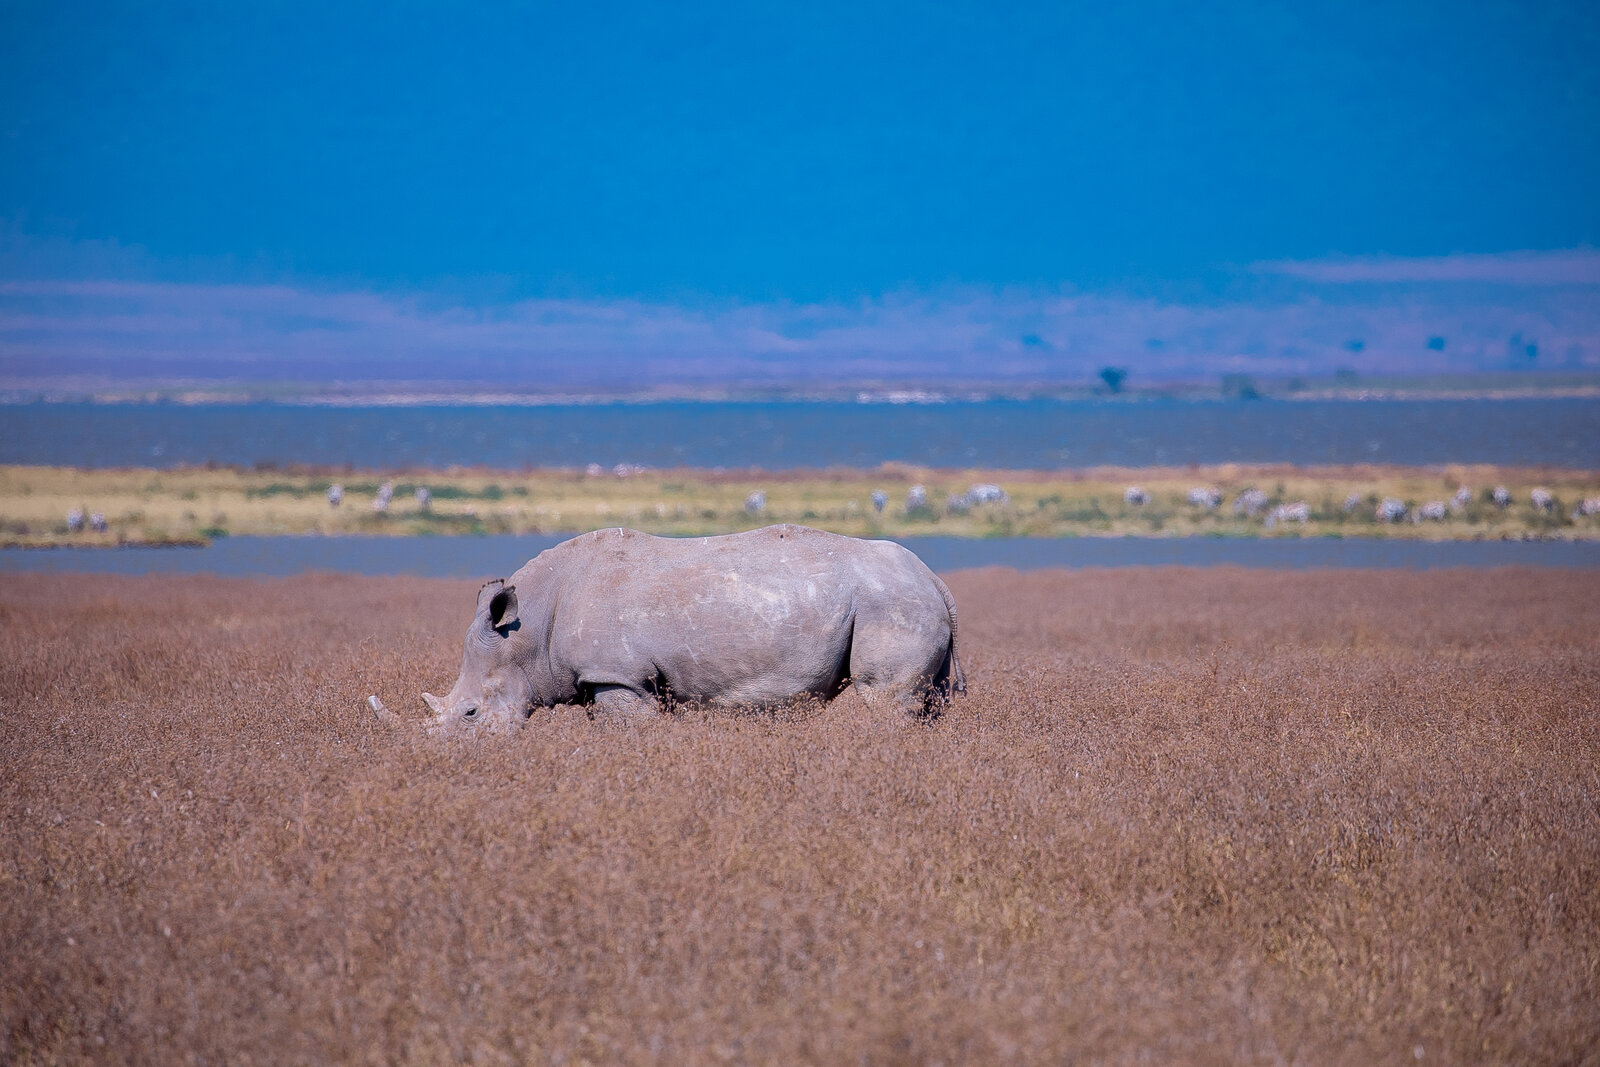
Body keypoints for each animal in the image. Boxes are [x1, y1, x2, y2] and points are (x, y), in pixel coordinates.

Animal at [422, 525, 964, 731]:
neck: (529, 631)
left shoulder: (617, 675)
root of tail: (936, 580)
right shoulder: (604, 677)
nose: (447, 760)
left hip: (890, 603)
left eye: (470, 714)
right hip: (906, 601)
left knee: (886, 699)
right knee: (928, 703)